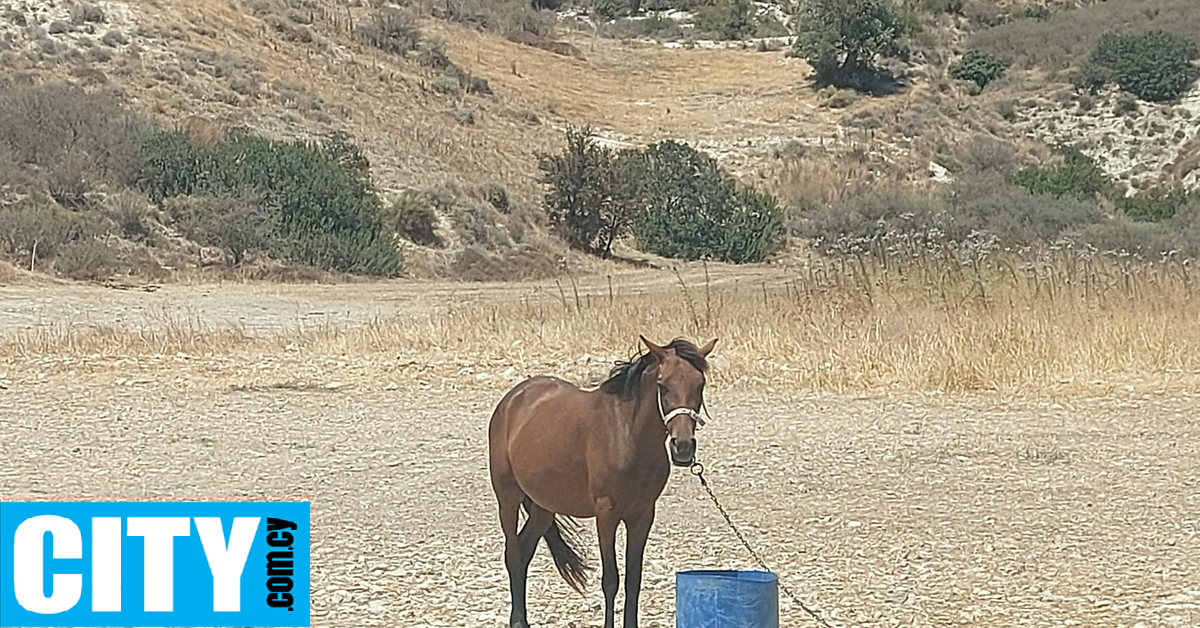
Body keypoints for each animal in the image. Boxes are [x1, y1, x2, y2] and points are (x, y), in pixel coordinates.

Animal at [484, 336, 710, 628]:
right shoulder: (607, 514)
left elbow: (634, 579)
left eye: (700, 384)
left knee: (523, 551)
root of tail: (513, 398)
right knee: (513, 555)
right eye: (663, 384)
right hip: (508, 499)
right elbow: (611, 580)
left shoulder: (642, 516)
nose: (682, 447)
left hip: (543, 507)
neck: (628, 435)